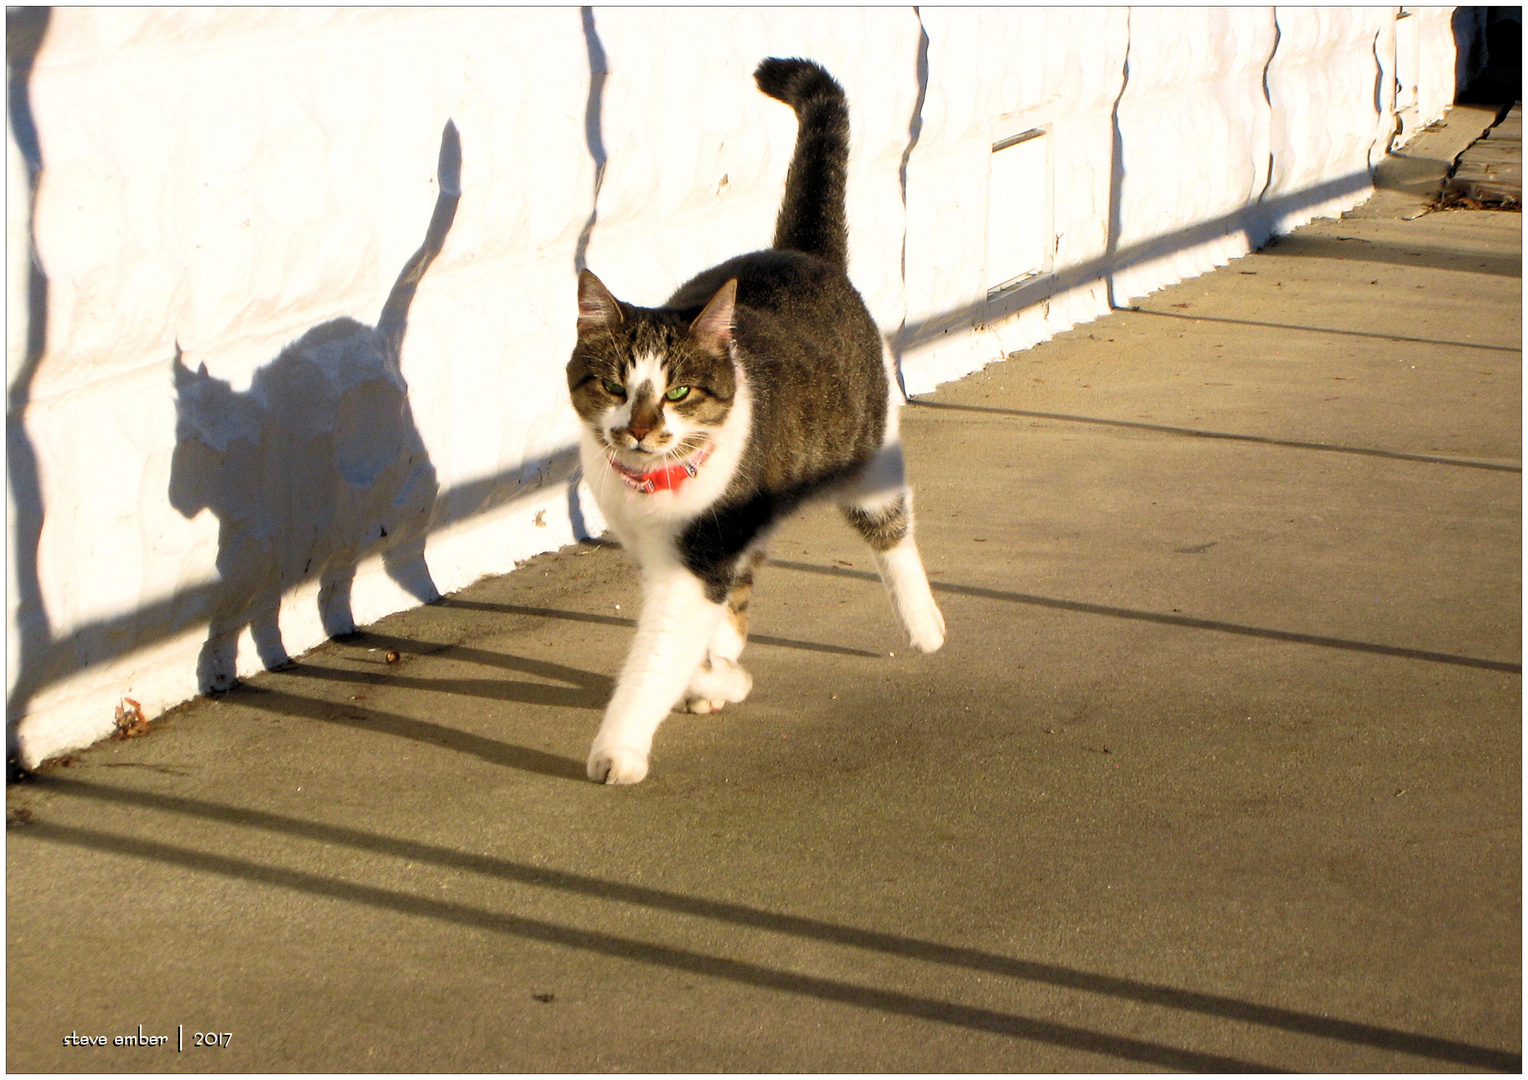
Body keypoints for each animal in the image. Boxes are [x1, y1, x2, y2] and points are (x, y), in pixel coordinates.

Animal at [568, 59, 941, 788]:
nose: (639, 431)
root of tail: (807, 253)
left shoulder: (698, 559)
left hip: (867, 454)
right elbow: (704, 635)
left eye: (679, 391)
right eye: (615, 386)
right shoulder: (666, 551)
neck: (656, 488)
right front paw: (719, 680)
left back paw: (924, 623)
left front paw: (620, 748)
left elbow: (657, 657)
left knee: (892, 529)